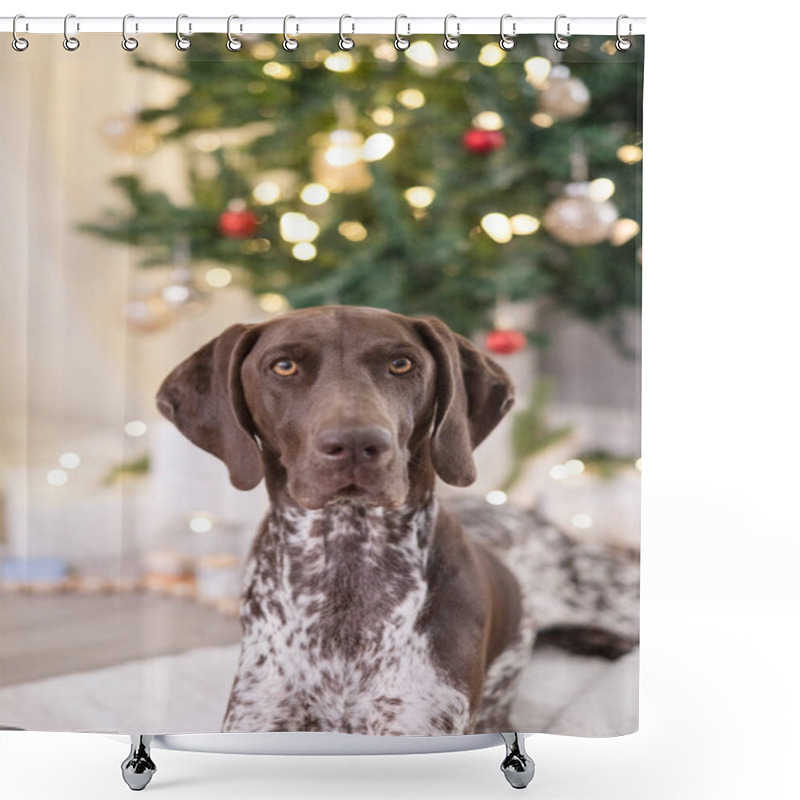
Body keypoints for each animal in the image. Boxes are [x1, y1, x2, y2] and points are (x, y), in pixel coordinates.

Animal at [158, 306, 636, 736]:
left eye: (401, 363)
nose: (357, 443)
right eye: (284, 366)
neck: (347, 562)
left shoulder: (418, 720)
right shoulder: (261, 714)